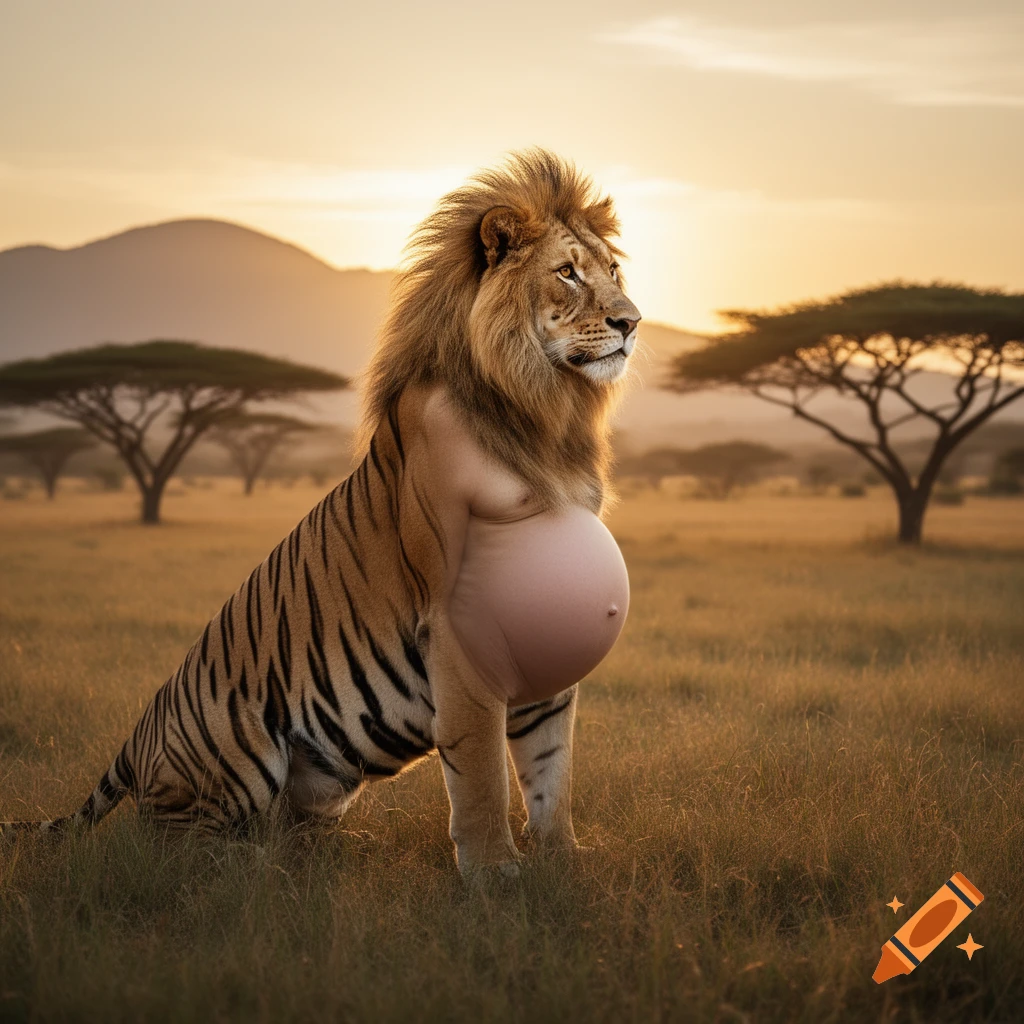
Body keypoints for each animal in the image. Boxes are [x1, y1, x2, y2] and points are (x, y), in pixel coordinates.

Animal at [1, 149, 642, 878]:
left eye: (614, 271)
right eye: (567, 273)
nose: (632, 323)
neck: (544, 411)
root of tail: (137, 736)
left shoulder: (546, 668)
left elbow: (551, 770)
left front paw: (562, 865)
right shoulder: (456, 625)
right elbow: (481, 771)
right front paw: (495, 876)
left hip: (327, 773)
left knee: (286, 827)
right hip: (236, 747)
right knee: (171, 843)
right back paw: (252, 870)